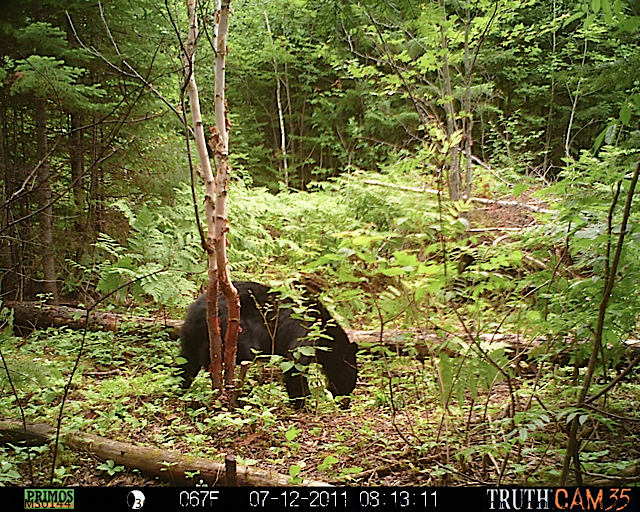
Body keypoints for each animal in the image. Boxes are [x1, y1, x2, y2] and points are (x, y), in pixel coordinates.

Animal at [178, 282, 358, 406]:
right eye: (352, 375)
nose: (346, 402)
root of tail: (201, 309)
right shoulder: (303, 336)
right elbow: (295, 367)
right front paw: (303, 402)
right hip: (233, 328)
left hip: (190, 333)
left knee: (186, 362)